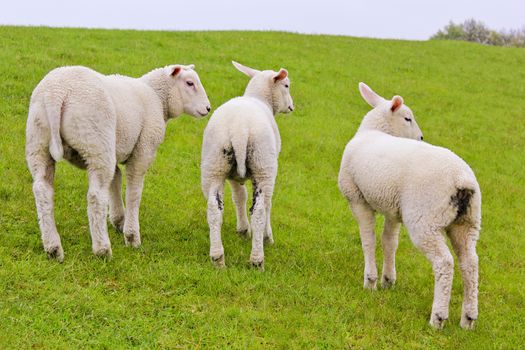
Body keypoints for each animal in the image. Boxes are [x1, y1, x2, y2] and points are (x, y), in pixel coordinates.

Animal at [24, 63, 209, 262]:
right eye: (190, 83)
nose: (208, 108)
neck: (158, 98)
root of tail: (56, 92)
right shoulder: (143, 149)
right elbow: (133, 192)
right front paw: (132, 236)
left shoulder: (114, 150)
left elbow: (116, 179)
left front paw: (119, 220)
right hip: (96, 141)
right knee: (96, 196)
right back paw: (102, 249)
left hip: (39, 142)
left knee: (43, 190)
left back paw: (53, 248)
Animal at [200, 60, 292, 270]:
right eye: (286, 85)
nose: (291, 107)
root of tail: (239, 129)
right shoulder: (268, 171)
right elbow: (267, 204)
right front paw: (267, 237)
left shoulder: (234, 176)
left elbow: (239, 197)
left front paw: (242, 230)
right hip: (262, 164)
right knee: (259, 210)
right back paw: (257, 260)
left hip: (214, 165)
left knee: (213, 209)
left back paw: (217, 258)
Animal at [338, 83, 482, 330]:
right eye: (407, 118)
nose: (421, 137)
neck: (372, 131)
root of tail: (462, 180)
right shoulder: (393, 209)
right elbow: (389, 242)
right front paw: (387, 279)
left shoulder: (357, 199)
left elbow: (368, 239)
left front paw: (370, 281)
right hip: (467, 223)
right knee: (470, 263)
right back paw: (468, 319)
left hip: (426, 220)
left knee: (444, 263)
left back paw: (438, 317)